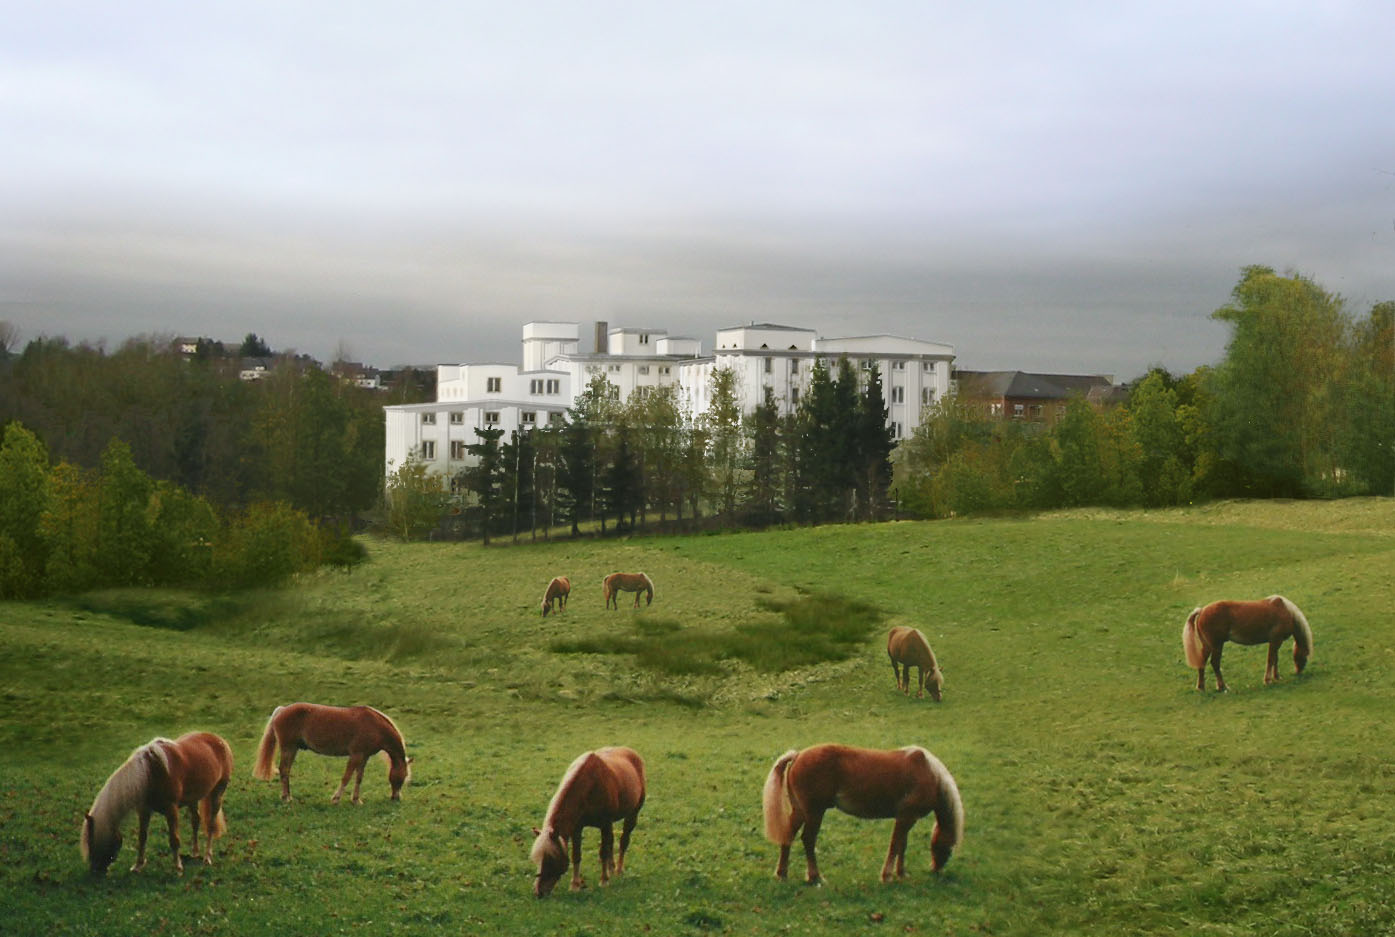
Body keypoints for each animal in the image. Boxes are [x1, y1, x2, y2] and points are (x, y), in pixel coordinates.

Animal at [79, 730, 231, 881]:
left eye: (92, 842)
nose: (95, 872)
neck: (149, 773)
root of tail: (218, 739)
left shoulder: (171, 810)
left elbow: (174, 840)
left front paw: (178, 868)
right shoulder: (144, 810)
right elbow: (142, 838)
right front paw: (138, 865)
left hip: (218, 793)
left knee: (210, 825)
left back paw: (207, 857)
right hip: (193, 798)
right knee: (196, 820)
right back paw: (195, 852)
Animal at [253, 702, 410, 803]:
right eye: (403, 777)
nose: (396, 798)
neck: (375, 726)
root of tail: (282, 709)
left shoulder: (363, 757)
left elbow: (359, 778)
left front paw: (356, 800)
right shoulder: (355, 756)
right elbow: (346, 777)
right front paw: (336, 799)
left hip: (293, 749)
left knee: (285, 770)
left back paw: (287, 796)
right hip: (288, 748)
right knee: (284, 770)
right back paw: (286, 798)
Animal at [527, 741, 647, 897]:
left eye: (550, 858)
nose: (538, 892)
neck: (590, 786)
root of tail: (632, 753)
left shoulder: (605, 824)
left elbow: (603, 852)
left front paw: (604, 881)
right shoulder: (577, 828)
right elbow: (576, 855)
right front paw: (575, 885)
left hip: (632, 814)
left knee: (623, 841)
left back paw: (618, 870)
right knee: (611, 842)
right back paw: (611, 867)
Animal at [764, 741, 959, 881]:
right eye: (949, 849)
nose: (935, 869)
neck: (929, 773)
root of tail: (797, 755)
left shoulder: (906, 818)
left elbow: (902, 844)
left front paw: (901, 873)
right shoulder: (906, 817)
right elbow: (896, 844)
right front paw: (887, 876)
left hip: (801, 811)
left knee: (788, 835)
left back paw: (782, 873)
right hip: (814, 813)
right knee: (808, 839)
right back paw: (815, 877)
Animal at [1182, 596, 1311, 691]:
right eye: (1305, 655)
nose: (1298, 671)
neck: (1285, 611)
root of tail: (1201, 610)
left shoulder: (1275, 642)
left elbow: (1275, 659)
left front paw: (1277, 677)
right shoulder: (1276, 641)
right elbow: (1271, 659)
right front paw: (1268, 680)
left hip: (1208, 646)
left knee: (1202, 662)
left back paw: (1201, 687)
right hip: (1217, 646)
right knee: (1215, 663)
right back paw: (1223, 687)